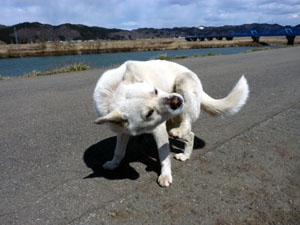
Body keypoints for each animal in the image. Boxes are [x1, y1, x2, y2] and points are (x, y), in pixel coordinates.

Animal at [93, 59, 248, 186]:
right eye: (149, 113)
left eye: (155, 90)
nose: (177, 100)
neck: (111, 94)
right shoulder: (122, 132)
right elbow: (118, 151)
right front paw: (113, 164)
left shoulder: (159, 130)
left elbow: (164, 156)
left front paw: (165, 175)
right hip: (171, 122)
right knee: (190, 134)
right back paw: (185, 154)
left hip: (183, 83)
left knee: (187, 124)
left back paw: (180, 136)